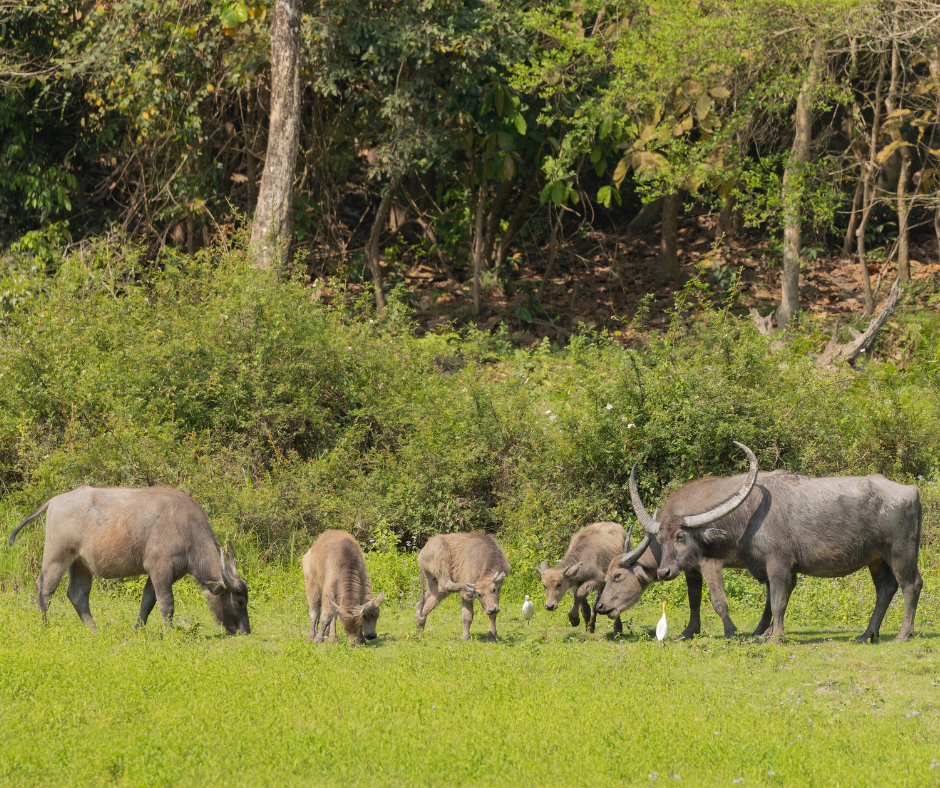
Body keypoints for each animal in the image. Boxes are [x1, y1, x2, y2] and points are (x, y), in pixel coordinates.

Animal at [8, 486, 250, 636]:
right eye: (240, 601)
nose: (245, 631)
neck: (186, 527)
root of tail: (55, 501)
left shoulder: (159, 574)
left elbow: (147, 602)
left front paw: (138, 631)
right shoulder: (160, 569)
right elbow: (166, 604)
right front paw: (169, 634)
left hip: (80, 564)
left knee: (77, 595)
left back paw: (94, 631)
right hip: (57, 555)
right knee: (44, 588)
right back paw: (44, 627)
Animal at [628, 440, 920, 644]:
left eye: (681, 536)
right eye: (660, 538)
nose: (664, 571)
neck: (750, 516)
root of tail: (912, 491)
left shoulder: (779, 564)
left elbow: (778, 601)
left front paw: (775, 637)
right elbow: (775, 600)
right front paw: (767, 633)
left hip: (901, 553)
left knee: (911, 585)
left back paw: (903, 635)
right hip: (877, 559)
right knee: (885, 589)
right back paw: (867, 635)